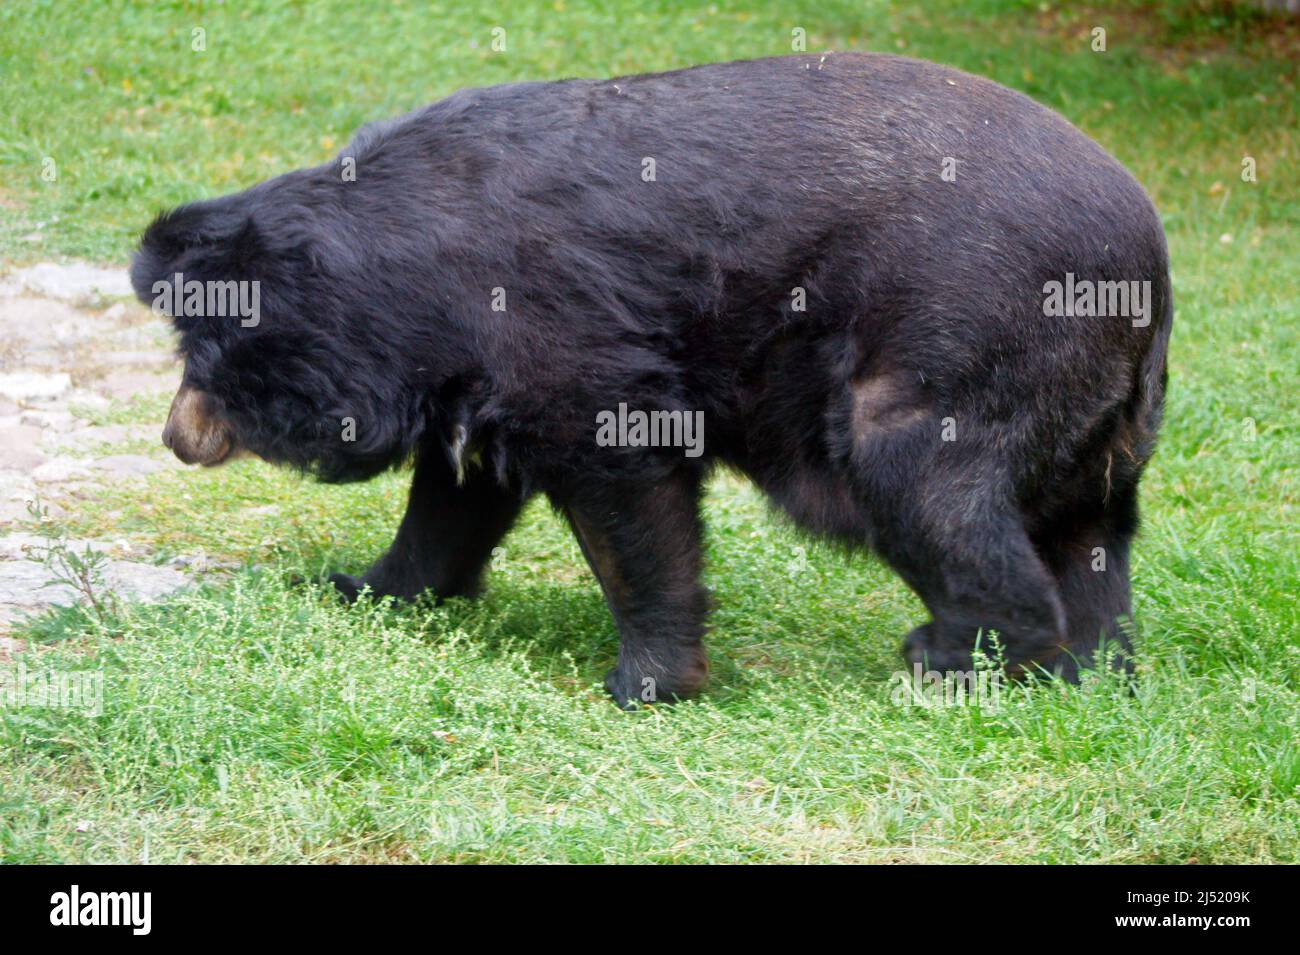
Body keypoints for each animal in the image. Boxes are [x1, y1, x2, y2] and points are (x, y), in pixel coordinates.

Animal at [131, 54, 1170, 712]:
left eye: (200, 360)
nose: (177, 436)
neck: (412, 276)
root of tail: (1147, 265)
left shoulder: (558, 324)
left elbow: (625, 485)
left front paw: (647, 680)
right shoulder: (473, 368)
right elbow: (455, 497)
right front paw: (365, 585)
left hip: (963, 338)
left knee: (925, 479)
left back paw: (954, 651)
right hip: (1085, 408)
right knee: (1086, 535)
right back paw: (1088, 668)